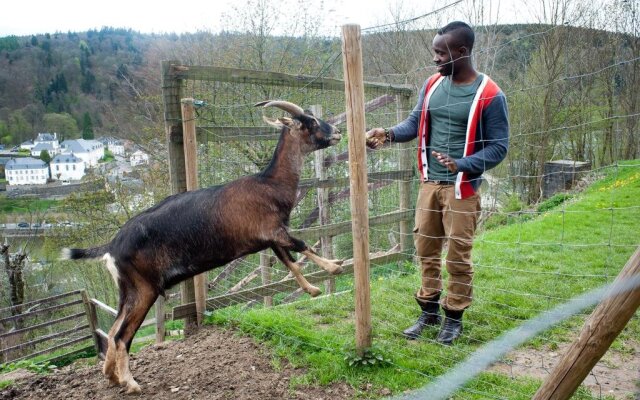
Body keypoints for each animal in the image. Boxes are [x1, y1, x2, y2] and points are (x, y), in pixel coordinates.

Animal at [62, 101, 344, 394]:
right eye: (311, 122)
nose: (337, 132)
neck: (269, 184)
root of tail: (112, 246)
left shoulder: (271, 237)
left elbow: (289, 260)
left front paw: (313, 288)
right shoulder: (273, 230)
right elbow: (302, 244)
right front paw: (334, 267)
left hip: (127, 289)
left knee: (113, 328)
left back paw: (111, 375)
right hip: (144, 288)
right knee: (121, 335)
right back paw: (130, 382)